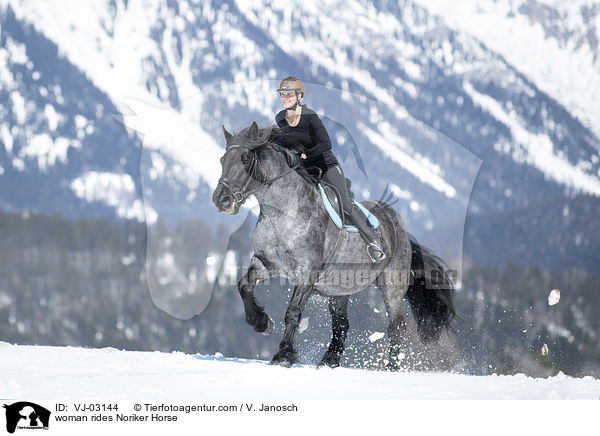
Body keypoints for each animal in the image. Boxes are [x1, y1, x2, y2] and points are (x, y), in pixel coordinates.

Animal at [212, 122, 454, 368]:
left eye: (245, 158)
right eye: (222, 159)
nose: (221, 200)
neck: (283, 212)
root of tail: (399, 226)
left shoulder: (307, 273)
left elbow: (293, 312)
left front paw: (283, 355)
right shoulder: (266, 263)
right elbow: (244, 285)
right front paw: (261, 323)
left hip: (392, 286)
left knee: (396, 326)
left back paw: (391, 367)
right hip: (339, 288)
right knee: (341, 325)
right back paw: (330, 360)